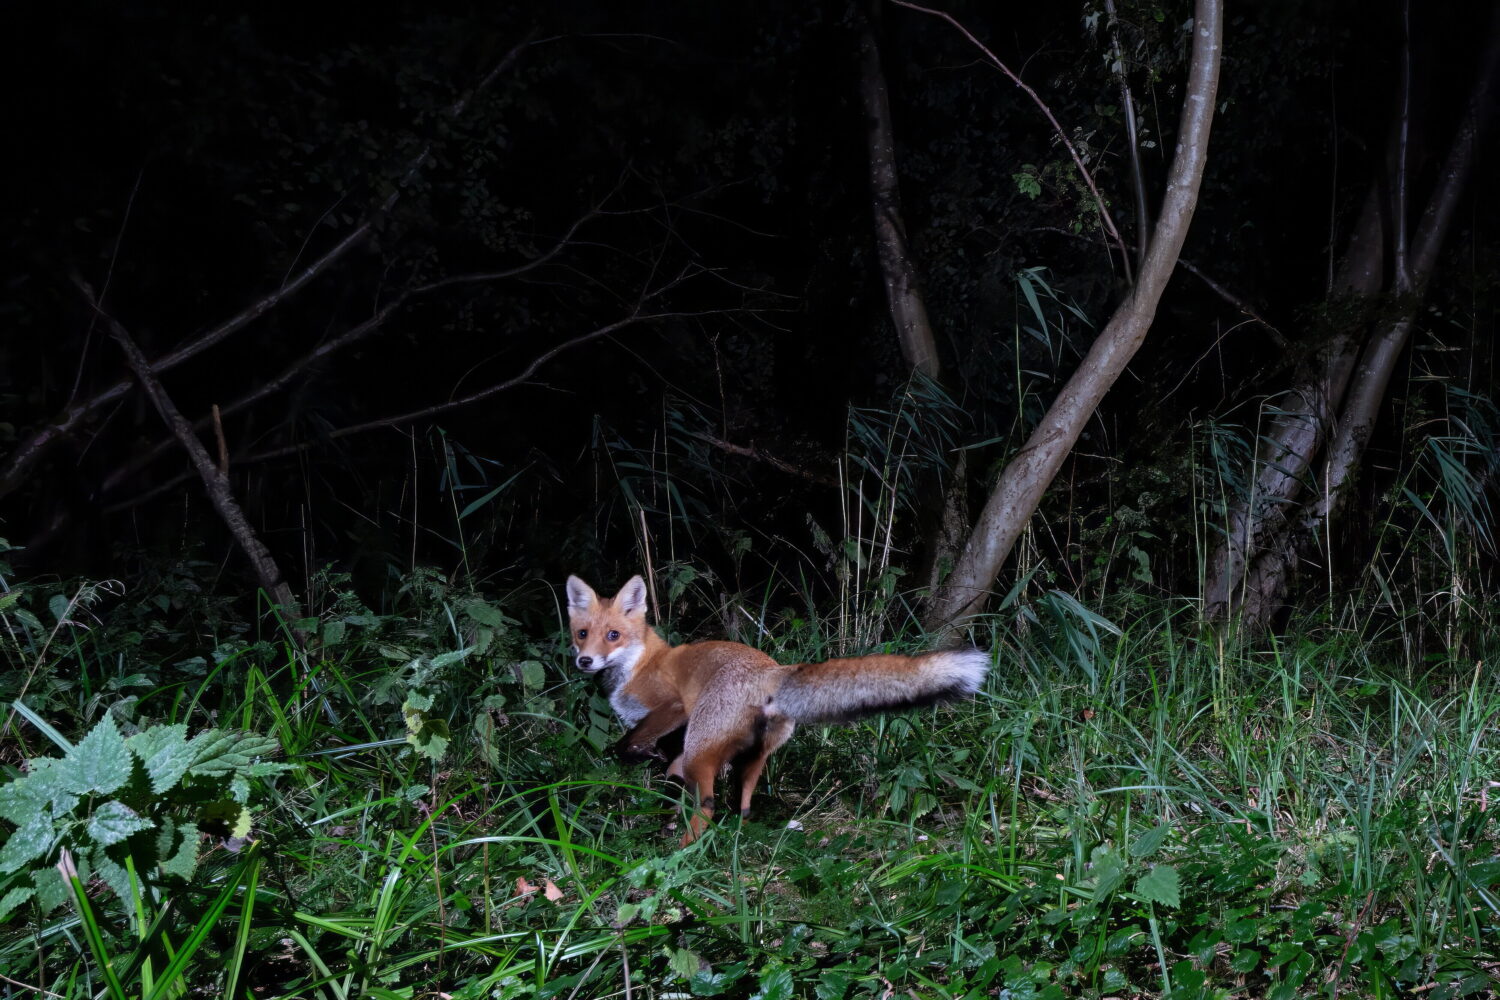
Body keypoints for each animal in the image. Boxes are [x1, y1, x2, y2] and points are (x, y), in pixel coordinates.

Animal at [566, 573, 989, 843]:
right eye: (582, 634)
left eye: (613, 635)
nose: (585, 661)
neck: (639, 664)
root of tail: (771, 670)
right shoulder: (677, 747)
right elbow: (664, 769)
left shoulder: (672, 709)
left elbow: (625, 745)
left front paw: (642, 759)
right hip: (752, 757)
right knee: (743, 802)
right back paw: (737, 836)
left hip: (701, 746)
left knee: (708, 806)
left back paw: (683, 849)